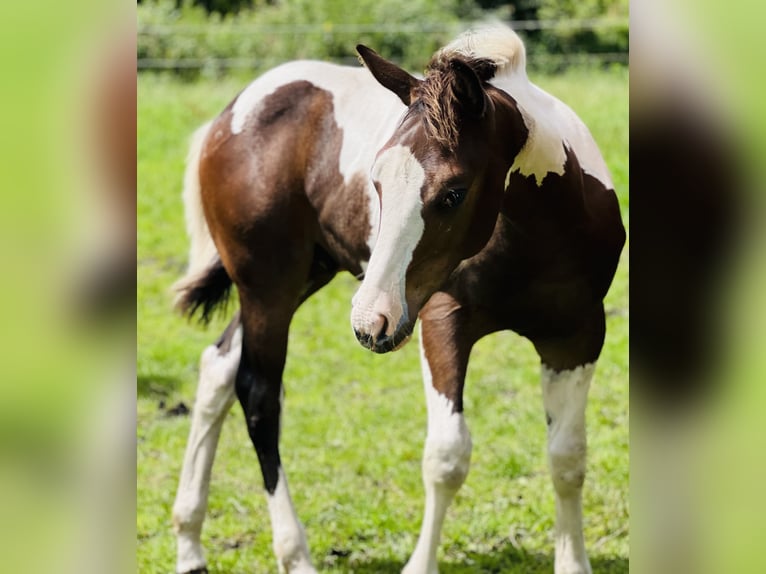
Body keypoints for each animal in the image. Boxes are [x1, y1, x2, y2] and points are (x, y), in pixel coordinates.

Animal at [171, 25, 628, 574]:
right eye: (377, 181)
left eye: (454, 192)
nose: (372, 322)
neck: (538, 235)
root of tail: (231, 114)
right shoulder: (441, 323)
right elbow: (446, 456)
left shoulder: (577, 336)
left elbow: (567, 457)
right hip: (268, 286)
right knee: (258, 393)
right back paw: (293, 553)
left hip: (303, 277)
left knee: (217, 368)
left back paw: (189, 542)